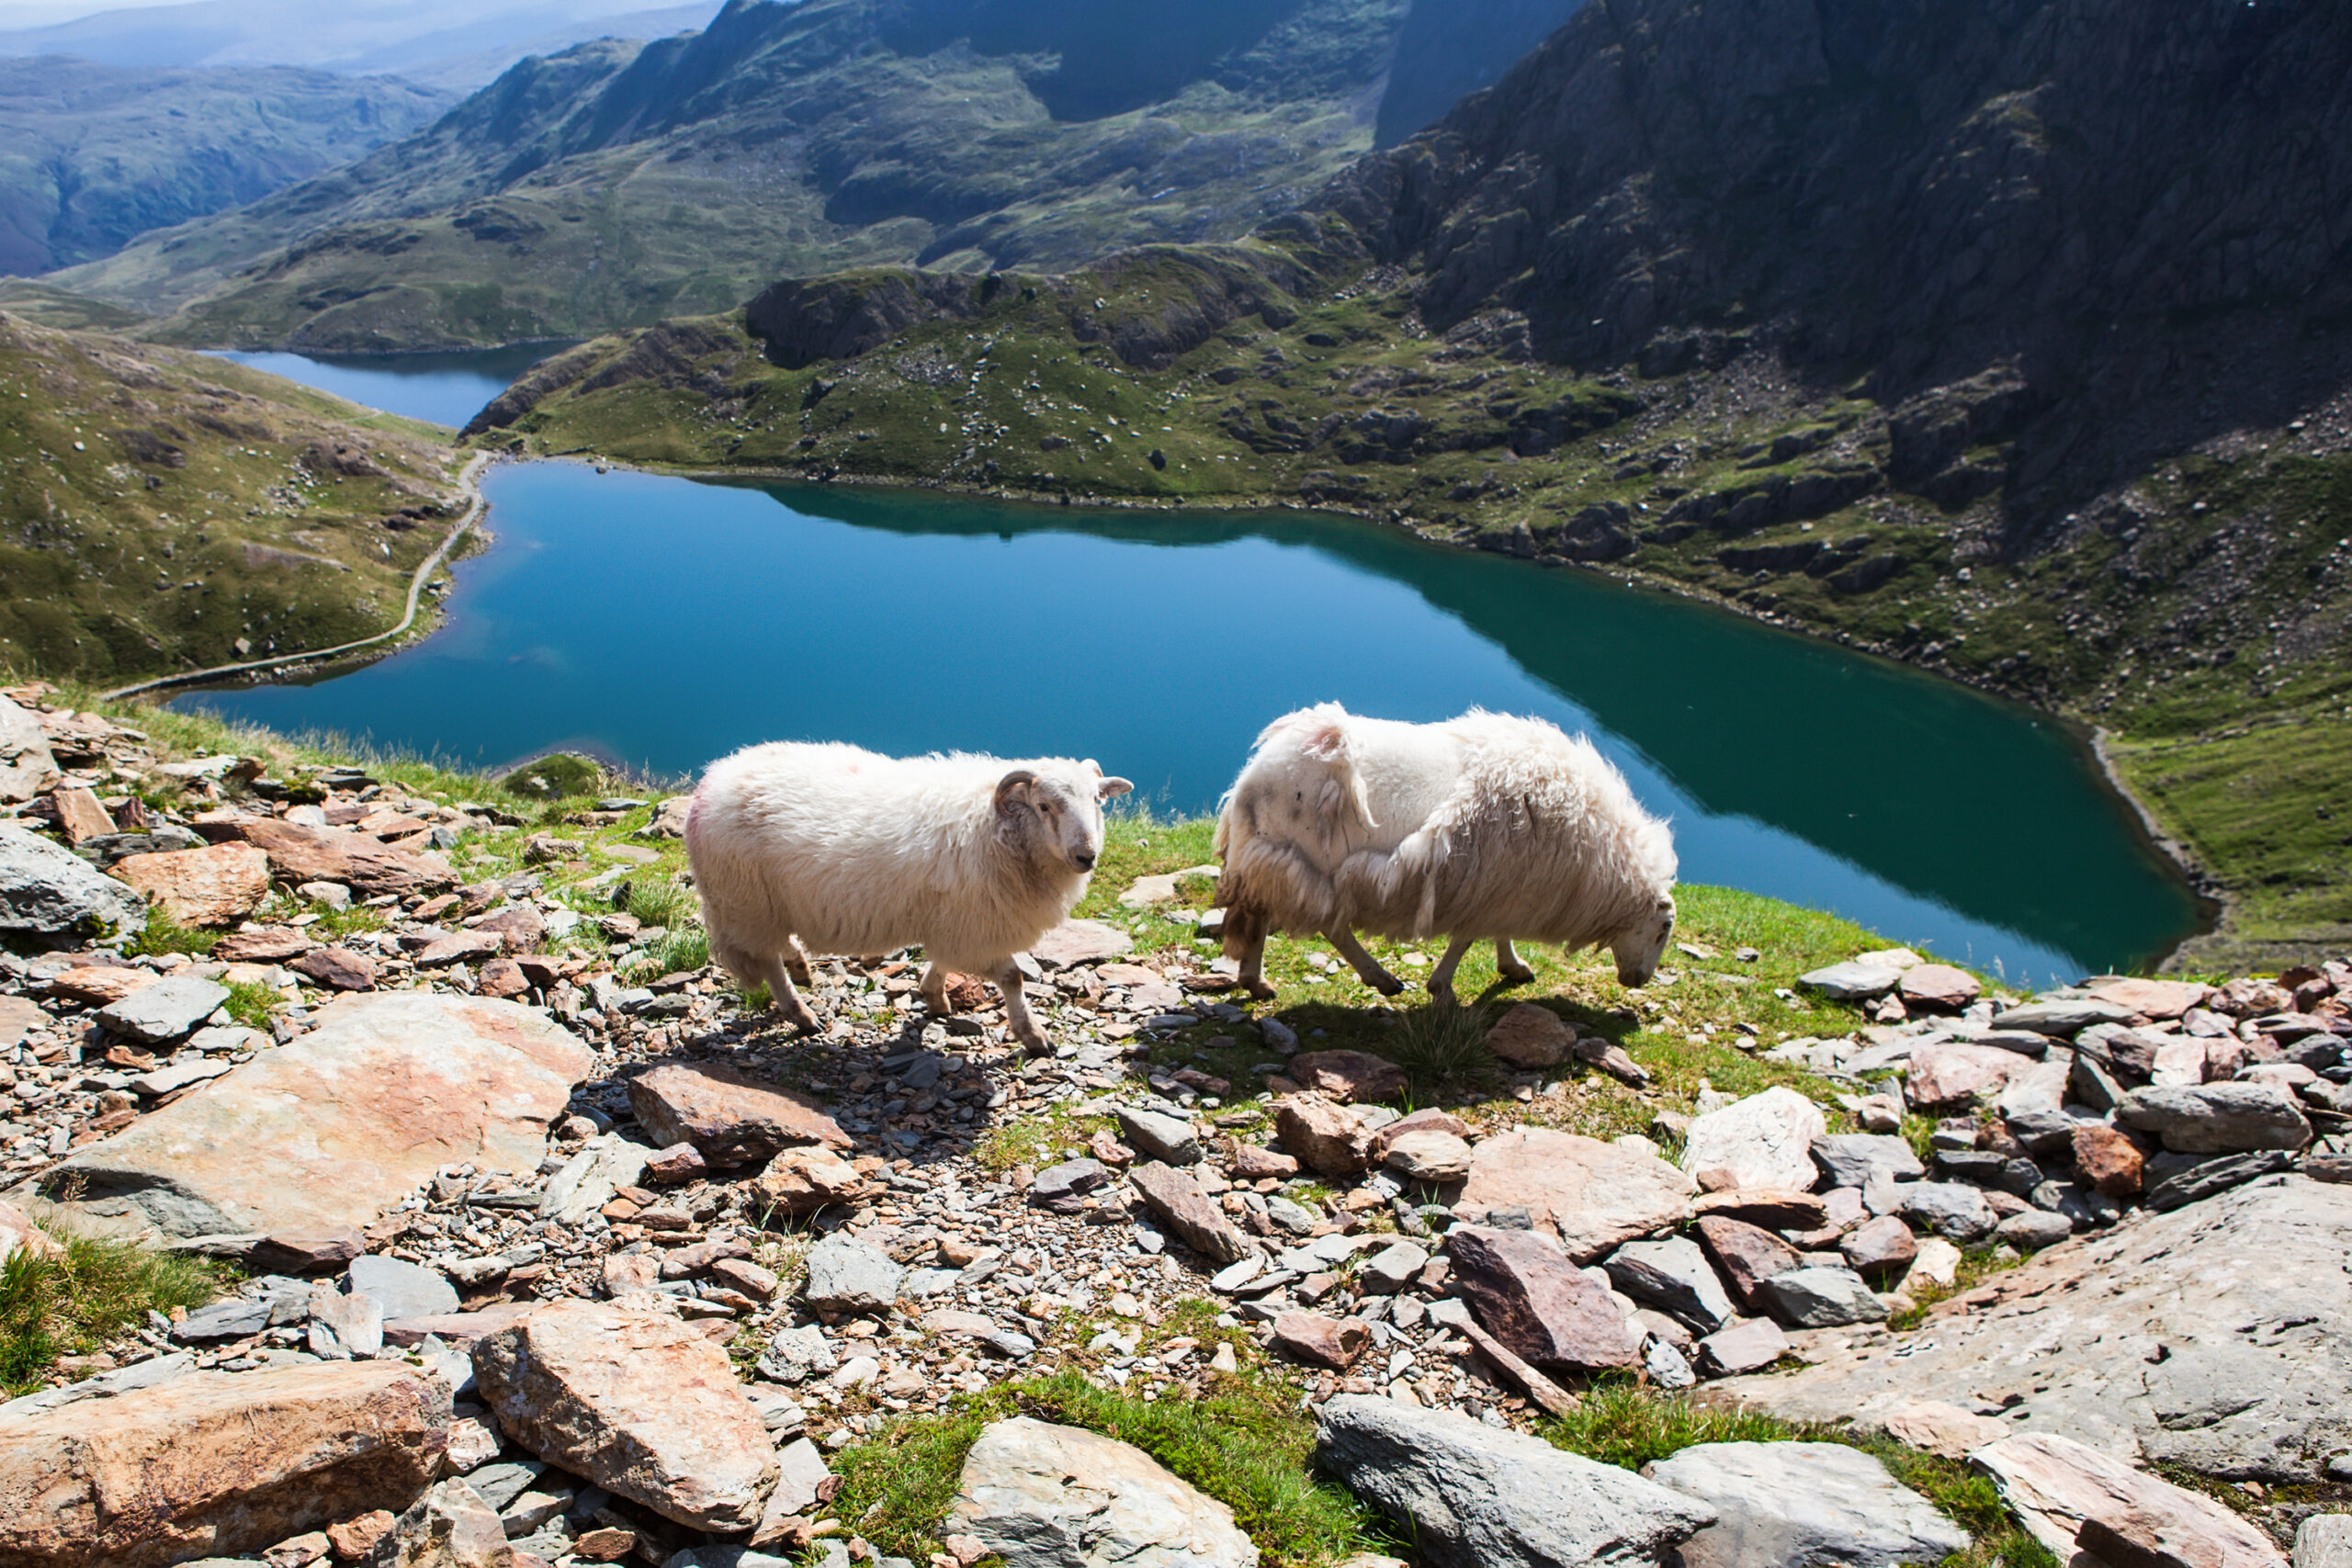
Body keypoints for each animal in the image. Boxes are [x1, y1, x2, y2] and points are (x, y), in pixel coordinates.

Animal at [686, 747, 1133, 1053]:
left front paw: (934, 997)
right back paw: (801, 1012)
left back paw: (800, 966)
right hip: (748, 901)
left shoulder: (958, 919)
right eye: (1043, 806)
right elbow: (1012, 977)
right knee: (768, 963)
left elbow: (945, 961)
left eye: (1097, 800)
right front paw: (1033, 1035)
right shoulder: (976, 923)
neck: (996, 826)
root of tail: (711, 781)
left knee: (777, 949)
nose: (1086, 856)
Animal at [1213, 700, 1674, 1001]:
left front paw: (1511, 966)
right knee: (1325, 925)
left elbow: (1493, 933)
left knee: (1280, 918)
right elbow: (1466, 940)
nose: (1639, 980)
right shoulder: (1487, 885)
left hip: (1279, 860)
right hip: (1301, 862)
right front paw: (1444, 988)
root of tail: (1251, 777)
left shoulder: (1504, 885)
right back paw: (1375, 977)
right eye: (1664, 928)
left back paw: (1258, 982)